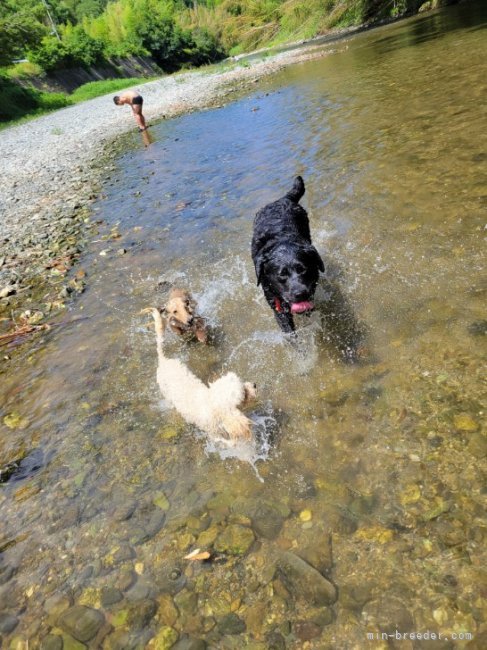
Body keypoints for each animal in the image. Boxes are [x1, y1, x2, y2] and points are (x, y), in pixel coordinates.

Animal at [252, 175, 324, 332]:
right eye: (282, 274)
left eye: (303, 270)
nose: (300, 293)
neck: (282, 244)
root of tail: (283, 199)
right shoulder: (275, 303)